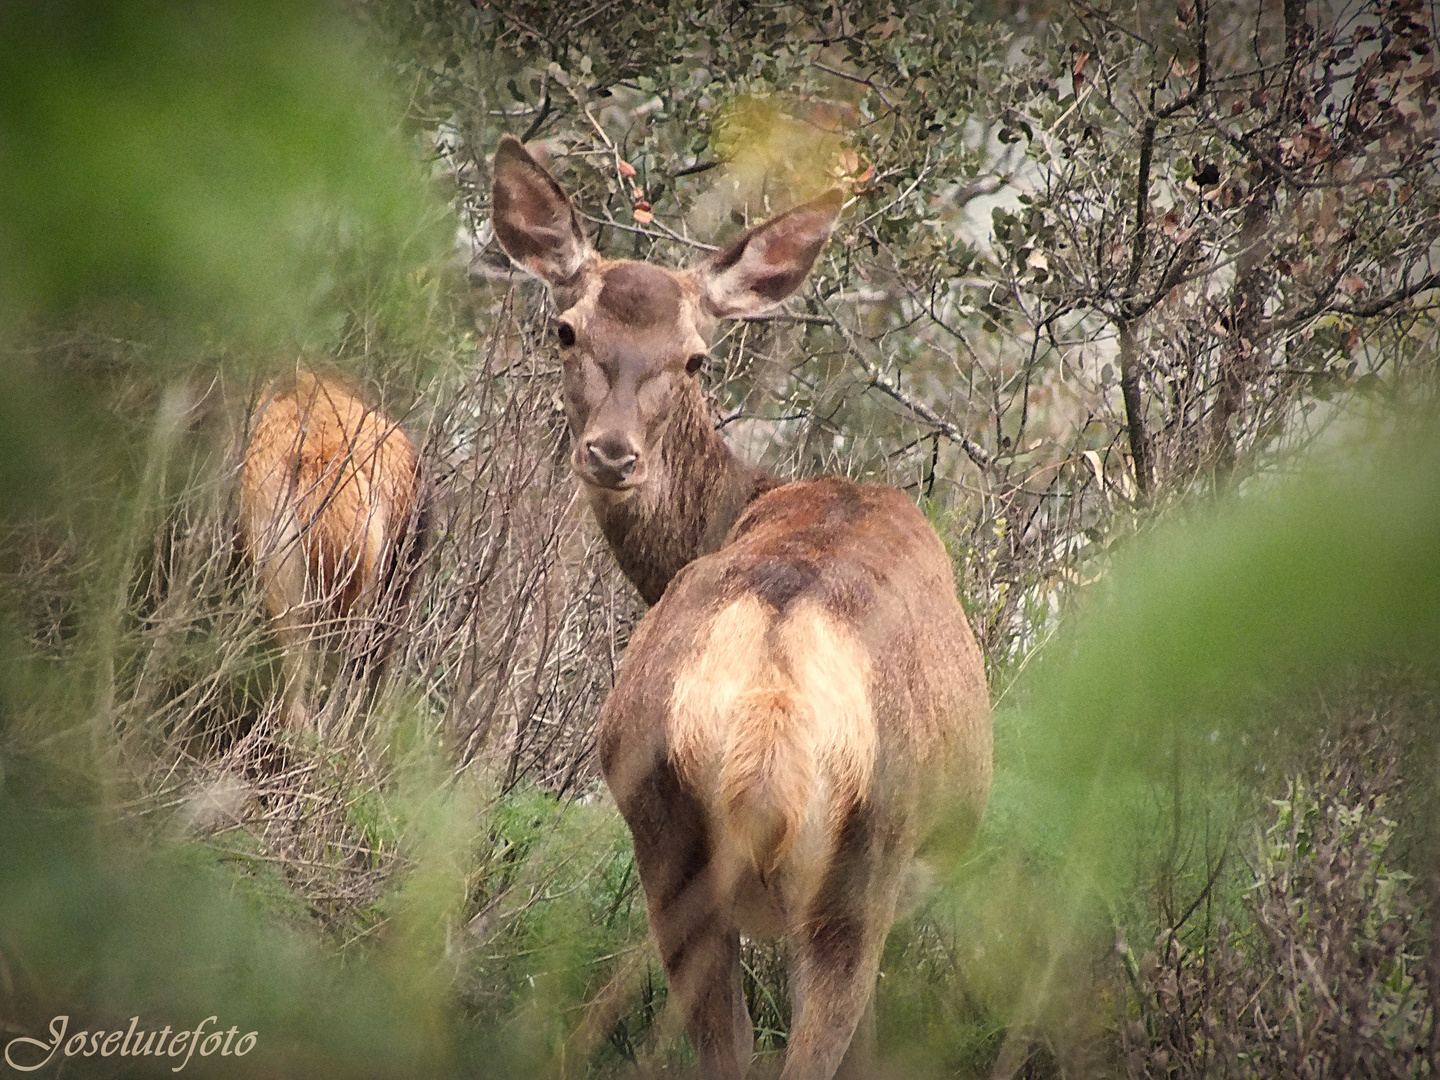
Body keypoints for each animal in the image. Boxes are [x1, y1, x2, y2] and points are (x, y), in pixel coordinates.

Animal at [492, 137, 990, 1080]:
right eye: (567, 329)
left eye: (696, 356)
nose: (611, 454)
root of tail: (770, 703)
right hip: (863, 863)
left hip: (661, 824)